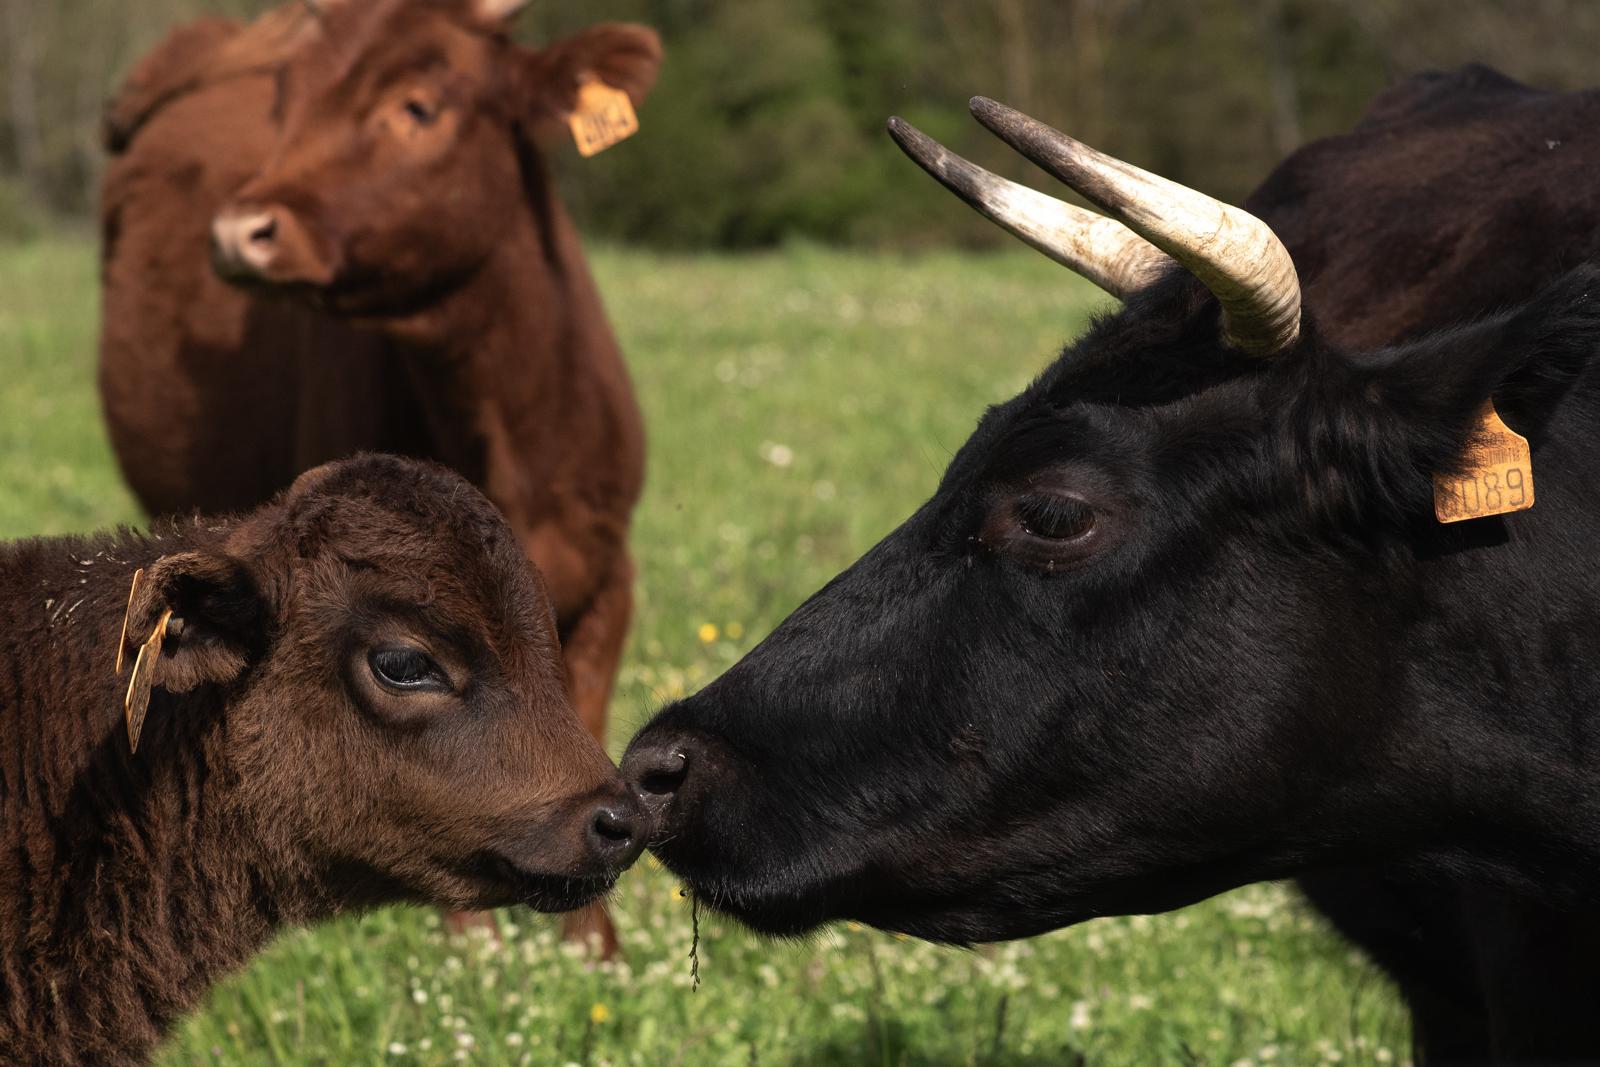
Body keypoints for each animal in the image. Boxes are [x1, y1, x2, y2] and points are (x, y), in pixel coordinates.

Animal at [98, 0, 660, 953]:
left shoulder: (609, 572)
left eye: (418, 105)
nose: (239, 231)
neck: (505, 428)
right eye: (288, 99)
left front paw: (596, 950)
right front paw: (472, 939)